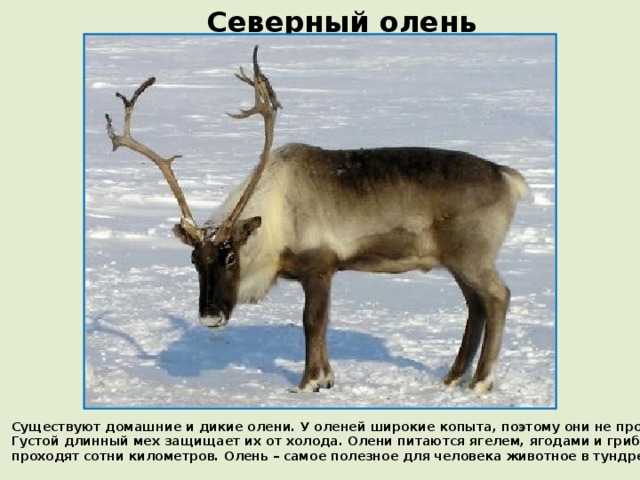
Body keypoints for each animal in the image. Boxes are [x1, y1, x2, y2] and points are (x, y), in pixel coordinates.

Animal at [105, 46, 529, 394]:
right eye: (194, 260)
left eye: (230, 256)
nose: (210, 315)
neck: (274, 223)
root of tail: (507, 177)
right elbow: (320, 323)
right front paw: (325, 378)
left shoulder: (321, 266)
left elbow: (313, 321)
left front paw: (310, 381)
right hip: (457, 261)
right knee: (475, 306)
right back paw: (453, 377)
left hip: (472, 255)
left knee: (498, 297)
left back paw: (481, 382)